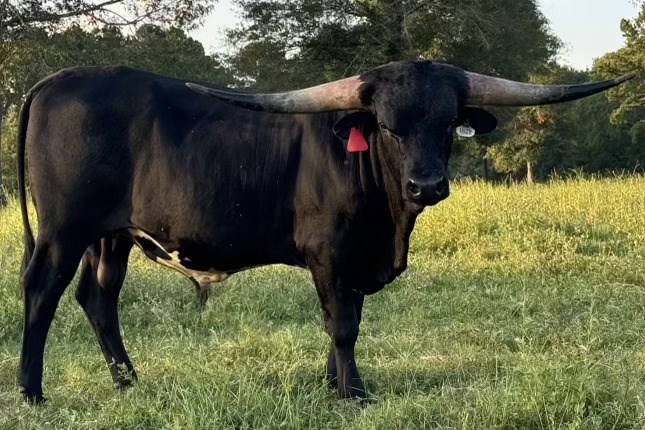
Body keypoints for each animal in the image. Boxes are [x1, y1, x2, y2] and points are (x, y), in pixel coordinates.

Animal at [16, 60, 632, 403]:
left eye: (446, 123)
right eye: (387, 125)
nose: (427, 185)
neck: (389, 223)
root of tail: (57, 80)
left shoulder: (354, 260)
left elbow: (345, 321)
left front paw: (332, 384)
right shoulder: (331, 253)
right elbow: (342, 326)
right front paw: (351, 394)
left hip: (110, 236)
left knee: (98, 297)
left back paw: (128, 382)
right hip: (63, 230)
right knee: (42, 294)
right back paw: (31, 390)